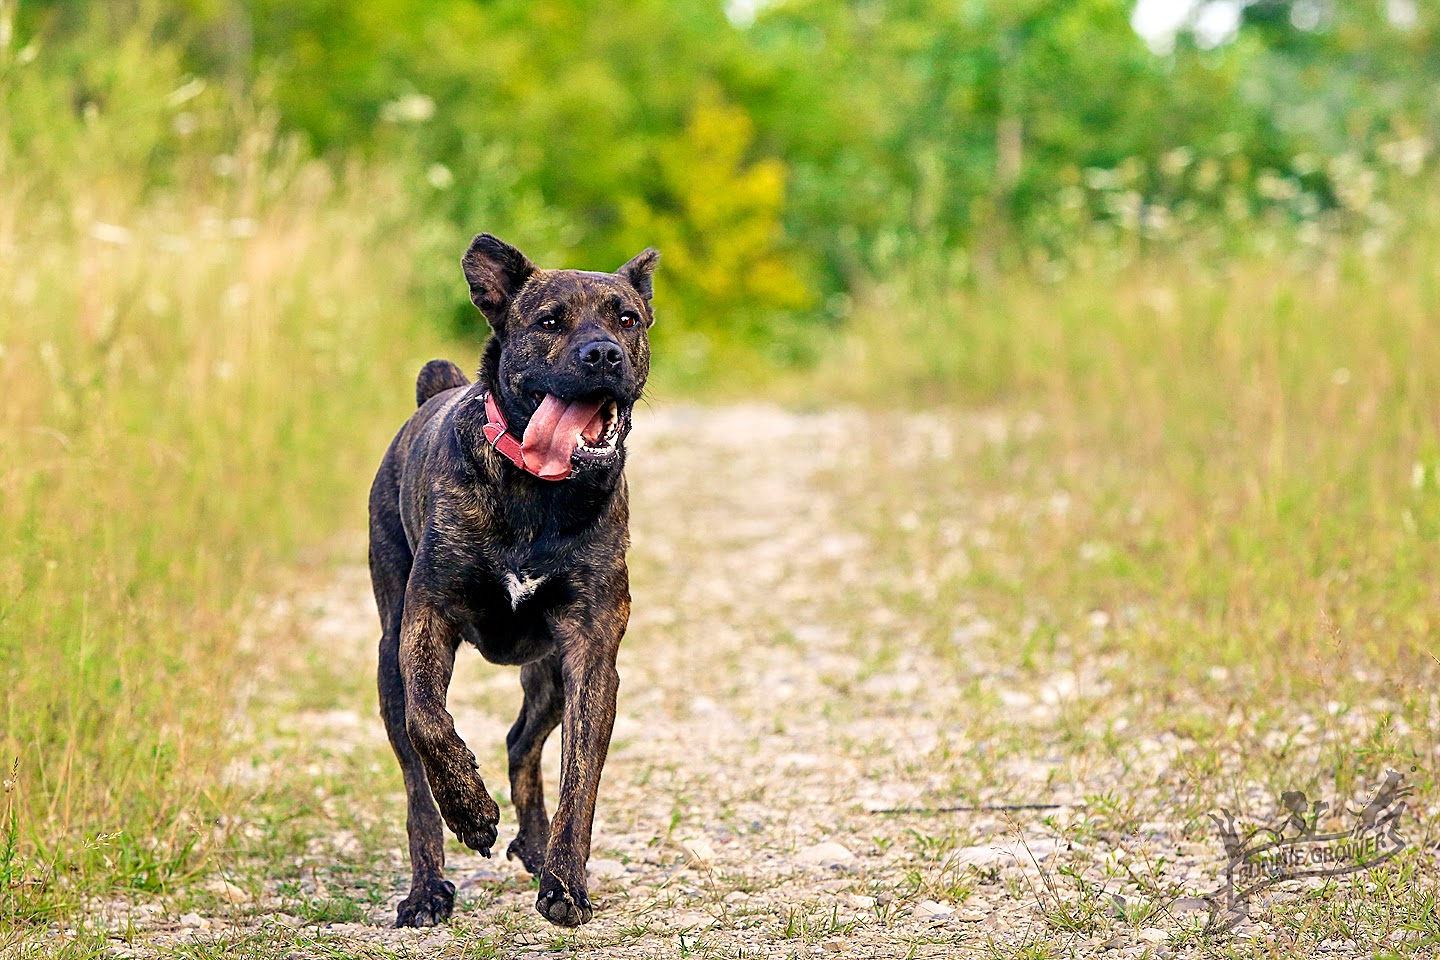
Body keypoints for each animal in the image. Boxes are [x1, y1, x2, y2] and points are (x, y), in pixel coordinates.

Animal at [371, 234, 662, 932]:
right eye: (550, 322)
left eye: (627, 319)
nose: (602, 353)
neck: (539, 489)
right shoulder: (426, 621)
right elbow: (430, 722)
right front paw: (473, 813)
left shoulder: (590, 653)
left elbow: (580, 781)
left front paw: (566, 885)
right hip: (389, 658)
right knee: (417, 787)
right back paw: (428, 889)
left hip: (549, 673)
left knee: (521, 741)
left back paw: (534, 845)